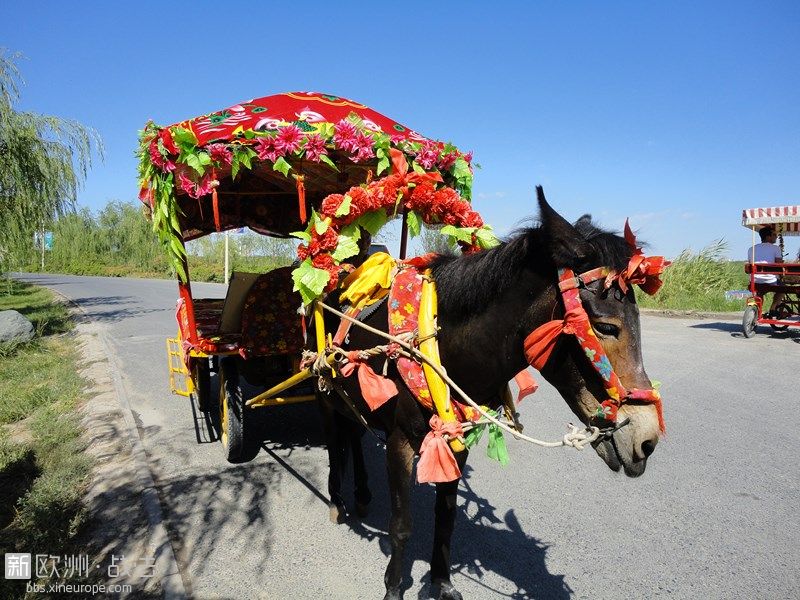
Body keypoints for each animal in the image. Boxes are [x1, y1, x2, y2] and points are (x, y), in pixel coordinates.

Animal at [314, 185, 664, 596]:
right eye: (606, 326)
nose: (647, 440)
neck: (439, 341)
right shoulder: (400, 442)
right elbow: (401, 527)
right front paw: (394, 588)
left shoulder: (456, 440)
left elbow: (447, 516)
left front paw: (442, 582)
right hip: (324, 395)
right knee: (335, 440)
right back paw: (337, 499)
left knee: (353, 432)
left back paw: (363, 494)